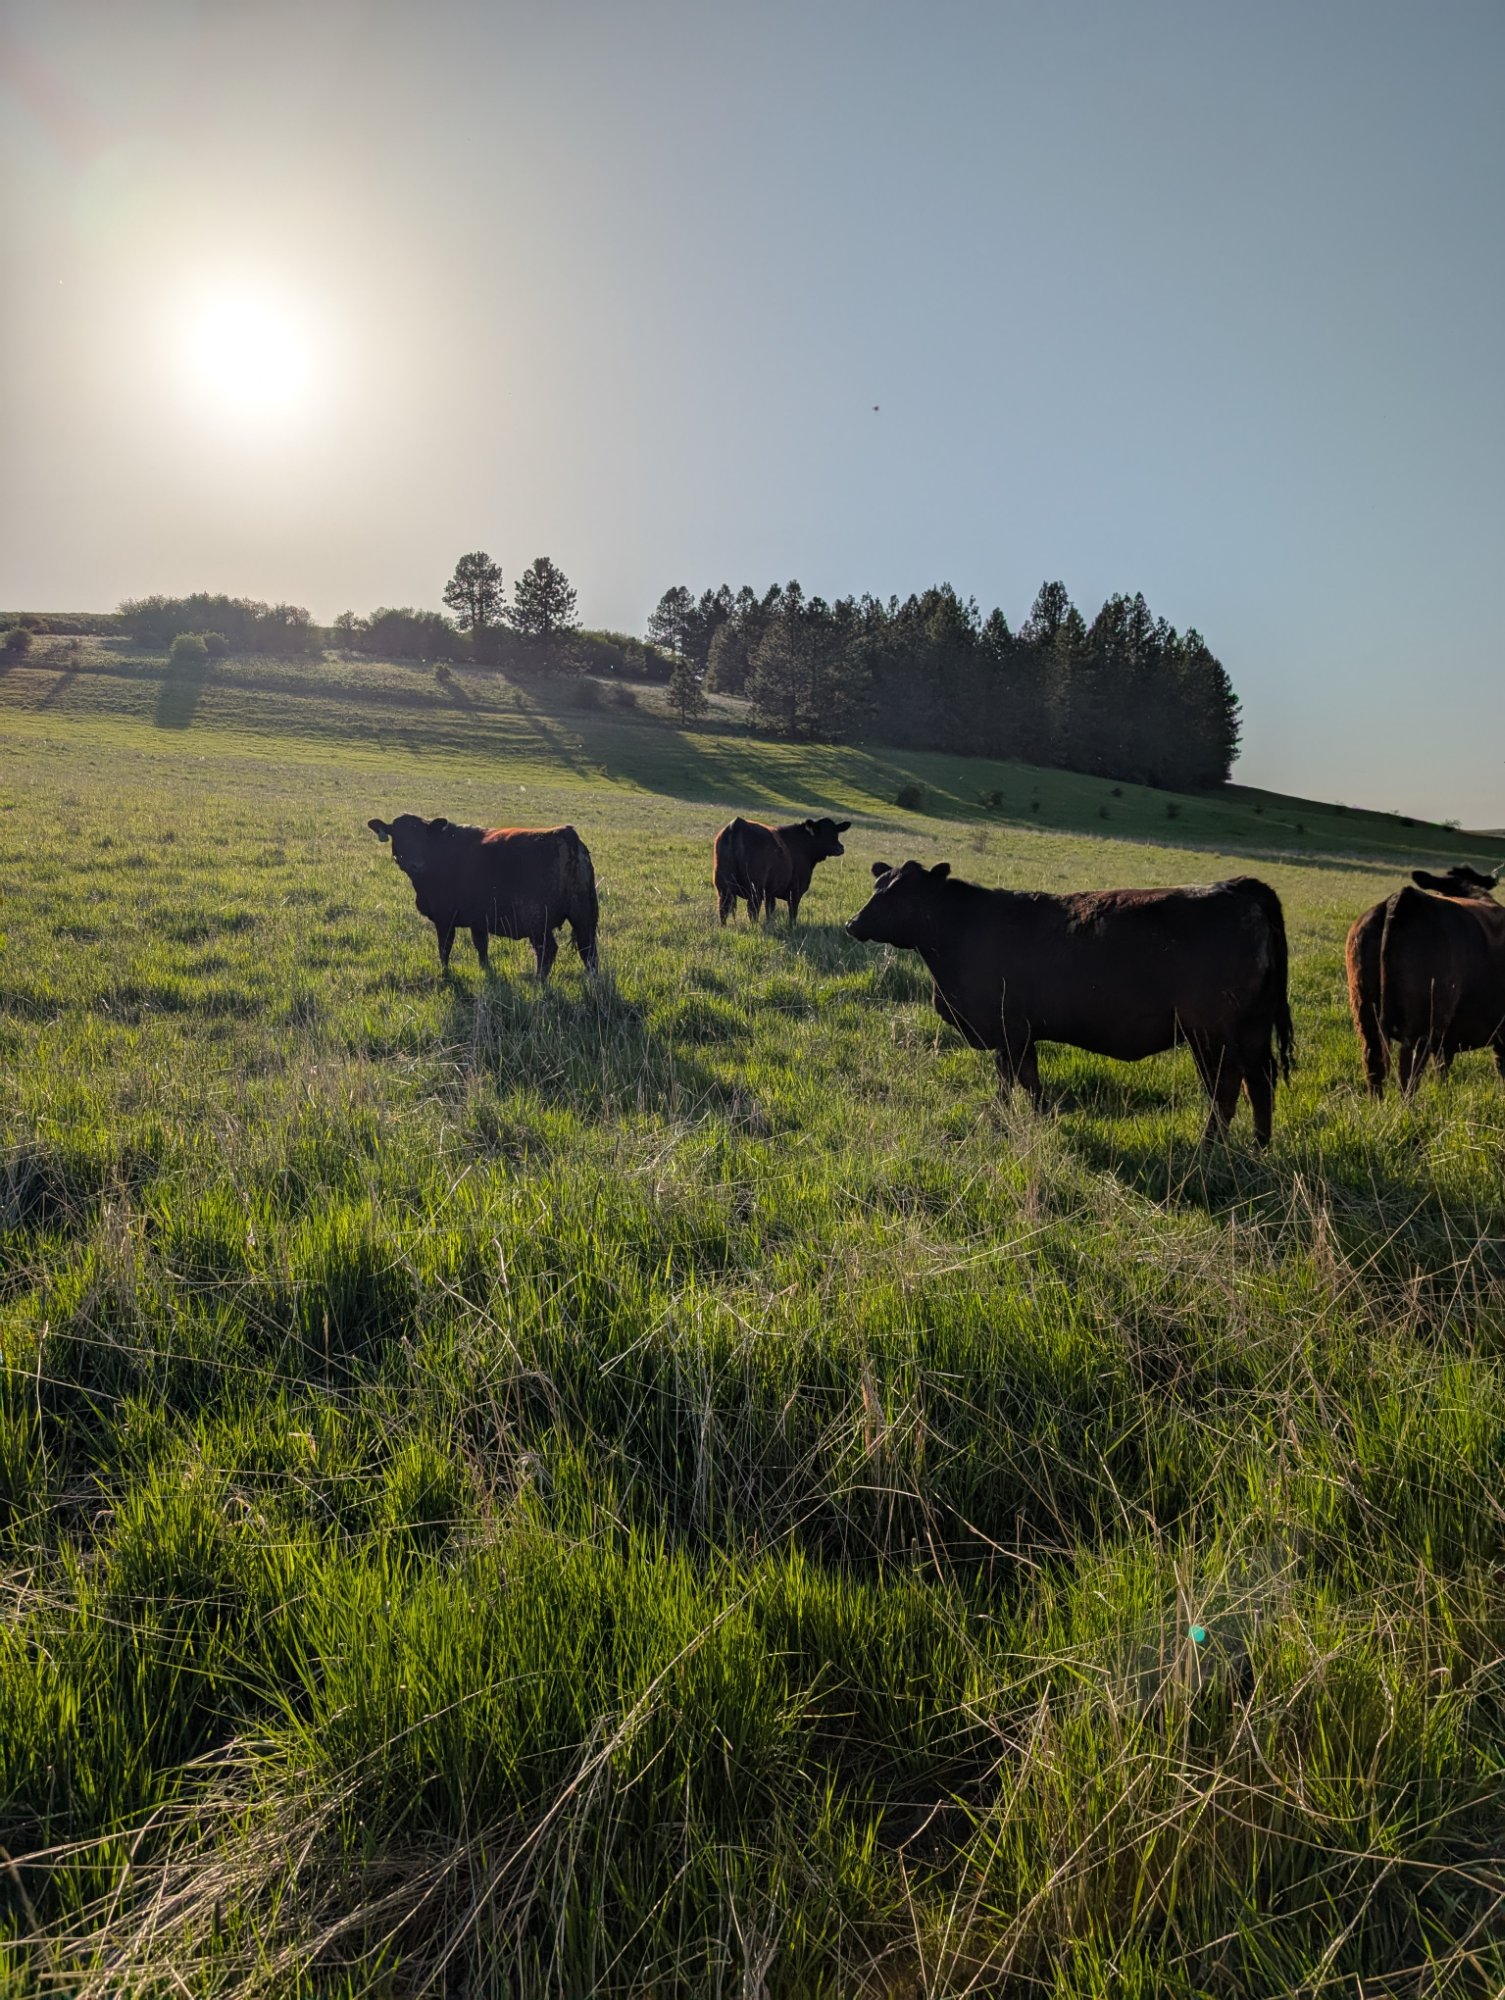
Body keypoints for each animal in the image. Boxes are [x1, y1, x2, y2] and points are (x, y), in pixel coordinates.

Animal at [367, 814, 598, 979]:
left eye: (422, 837)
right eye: (398, 836)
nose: (415, 863)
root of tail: (565, 833)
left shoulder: (444, 918)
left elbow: (444, 948)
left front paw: (445, 973)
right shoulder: (478, 920)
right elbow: (482, 947)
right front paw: (486, 971)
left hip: (537, 921)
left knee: (547, 951)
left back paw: (539, 982)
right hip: (583, 916)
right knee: (589, 952)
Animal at [713, 815, 851, 925]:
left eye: (836, 832)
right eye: (822, 832)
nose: (840, 848)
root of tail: (737, 824)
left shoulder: (770, 891)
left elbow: (770, 910)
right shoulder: (795, 891)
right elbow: (792, 912)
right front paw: (792, 927)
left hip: (723, 887)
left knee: (723, 909)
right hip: (754, 890)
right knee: (752, 911)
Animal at [845, 861, 1294, 1143]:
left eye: (902, 893)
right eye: (877, 887)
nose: (853, 923)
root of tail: (1236, 887)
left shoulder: (1009, 1027)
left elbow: (1013, 1077)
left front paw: (1004, 1119)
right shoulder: (1020, 1032)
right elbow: (1025, 1077)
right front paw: (1038, 1117)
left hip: (1211, 1033)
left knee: (1225, 1087)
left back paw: (1209, 1146)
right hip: (1250, 1031)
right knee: (1259, 1081)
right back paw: (1259, 1145)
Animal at [1345, 864, 1504, 1096]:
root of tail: (1406, 898)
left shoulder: (1446, 1042)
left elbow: (1442, 1070)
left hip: (1366, 1016)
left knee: (1374, 1068)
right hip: (1420, 1029)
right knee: (1407, 1076)